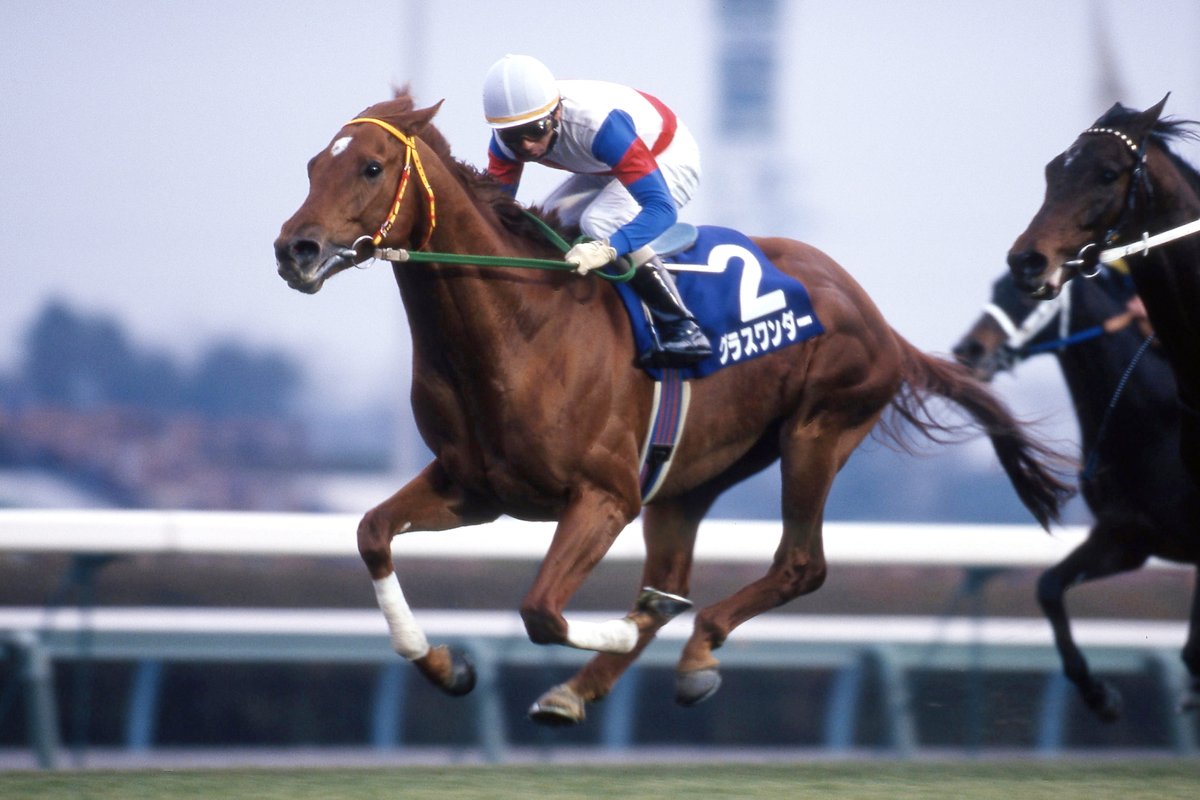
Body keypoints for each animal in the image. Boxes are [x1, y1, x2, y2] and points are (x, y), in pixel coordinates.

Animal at [273, 89, 1071, 726]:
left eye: (371, 167)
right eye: (312, 165)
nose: (295, 249)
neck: (519, 326)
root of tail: (874, 315)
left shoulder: (604, 496)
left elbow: (541, 610)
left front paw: (622, 627)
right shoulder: (476, 487)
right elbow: (373, 534)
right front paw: (445, 665)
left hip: (819, 432)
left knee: (799, 566)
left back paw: (690, 648)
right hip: (691, 478)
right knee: (679, 577)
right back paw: (595, 679)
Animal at [953, 267, 1200, 718]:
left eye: (1024, 292)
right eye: (995, 287)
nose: (969, 350)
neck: (1153, 421)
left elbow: (1193, 651)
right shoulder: (1126, 538)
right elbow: (1048, 587)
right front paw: (1100, 696)